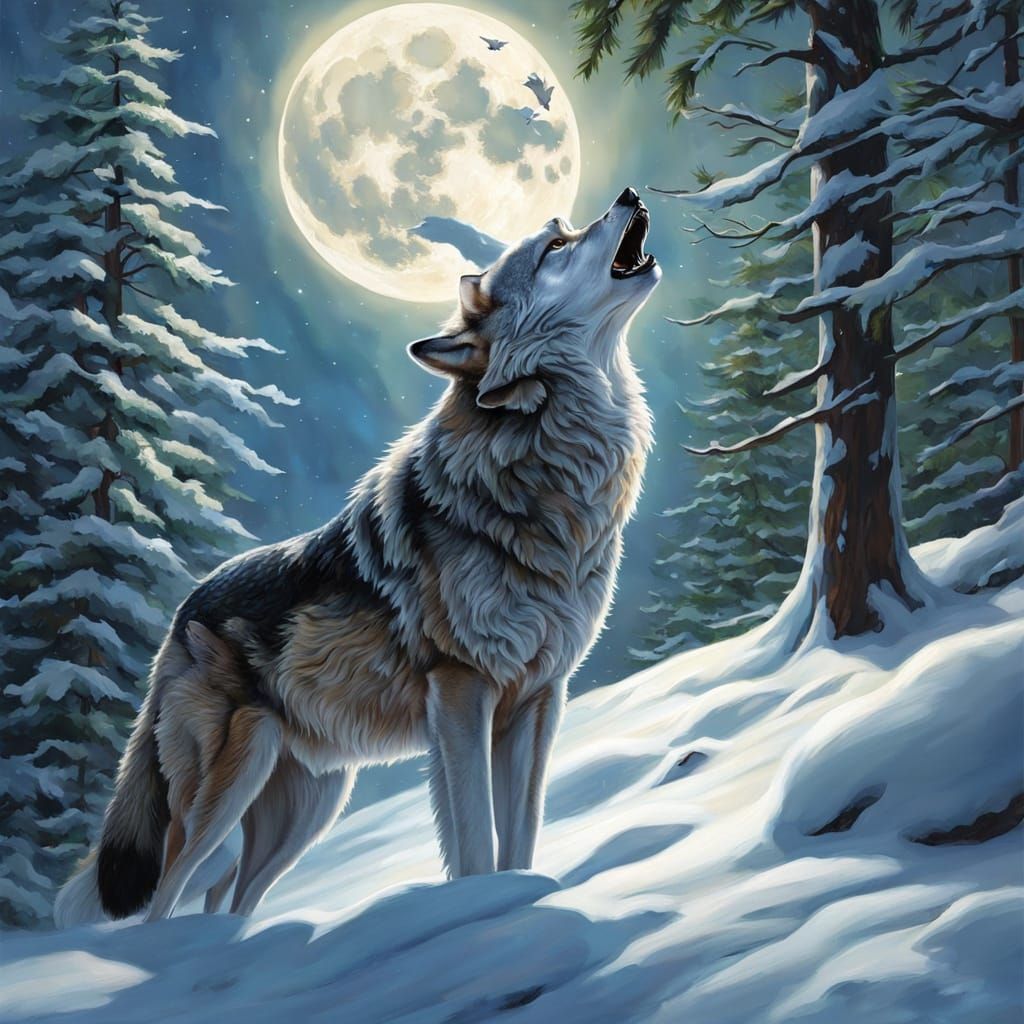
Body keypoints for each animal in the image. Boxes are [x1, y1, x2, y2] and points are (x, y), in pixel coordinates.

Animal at [54, 186, 659, 926]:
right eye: (555, 245)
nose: (628, 194)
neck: (549, 479)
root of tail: (183, 609)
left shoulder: (539, 698)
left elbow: (521, 836)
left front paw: (521, 904)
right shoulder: (463, 691)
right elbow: (475, 840)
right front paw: (478, 914)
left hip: (307, 809)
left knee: (230, 900)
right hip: (232, 784)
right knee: (165, 894)